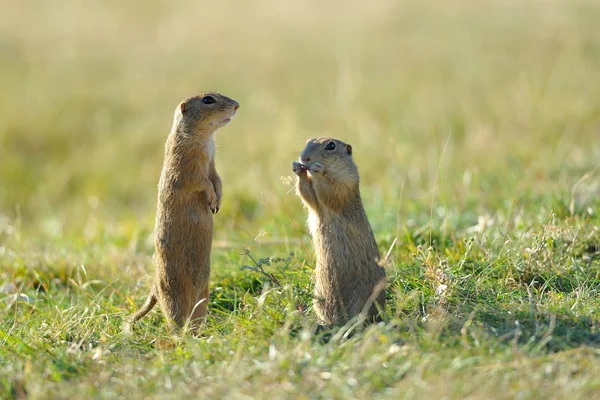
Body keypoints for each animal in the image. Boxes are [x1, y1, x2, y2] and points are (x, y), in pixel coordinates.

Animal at [126, 92, 239, 332]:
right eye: (208, 100)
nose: (237, 105)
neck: (204, 138)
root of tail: (154, 287)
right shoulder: (186, 164)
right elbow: (200, 181)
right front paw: (212, 199)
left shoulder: (213, 162)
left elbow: (217, 179)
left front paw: (218, 201)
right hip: (175, 294)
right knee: (175, 320)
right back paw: (182, 335)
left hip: (202, 296)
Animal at [292, 137, 386, 324]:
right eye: (307, 141)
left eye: (331, 145)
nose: (305, 159)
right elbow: (308, 195)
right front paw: (298, 169)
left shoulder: (346, 181)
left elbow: (332, 191)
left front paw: (316, 169)